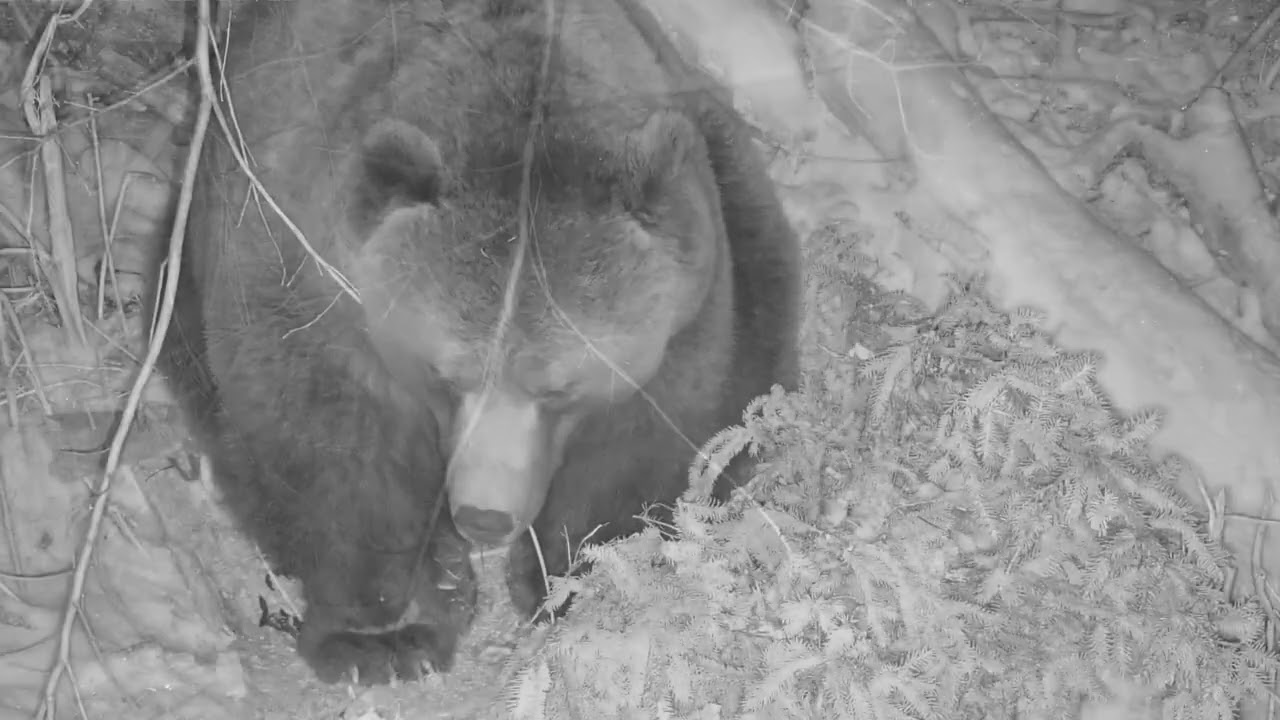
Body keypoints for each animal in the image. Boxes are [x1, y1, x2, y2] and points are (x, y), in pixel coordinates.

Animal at [161, 0, 801, 686]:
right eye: (445, 373)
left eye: (560, 388)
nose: (483, 517)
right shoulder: (307, 272)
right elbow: (333, 445)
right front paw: (385, 634)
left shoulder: (682, 325)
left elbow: (643, 448)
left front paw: (571, 580)